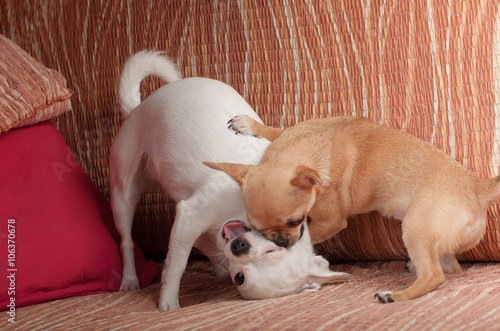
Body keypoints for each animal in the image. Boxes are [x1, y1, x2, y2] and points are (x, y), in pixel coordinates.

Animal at [109, 50, 352, 312]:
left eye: (240, 278)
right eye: (273, 250)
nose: (239, 246)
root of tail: (137, 107)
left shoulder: (191, 226)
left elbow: (189, 252)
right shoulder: (191, 214)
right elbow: (177, 265)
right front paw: (168, 302)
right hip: (123, 193)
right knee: (126, 241)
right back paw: (130, 279)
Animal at [205, 116, 500, 304]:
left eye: (295, 221)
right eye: (255, 227)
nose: (281, 242)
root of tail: (479, 186)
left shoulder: (330, 222)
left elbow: (310, 237)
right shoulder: (288, 134)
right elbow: (274, 131)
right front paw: (249, 125)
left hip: (416, 228)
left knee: (435, 275)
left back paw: (396, 296)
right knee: (449, 267)